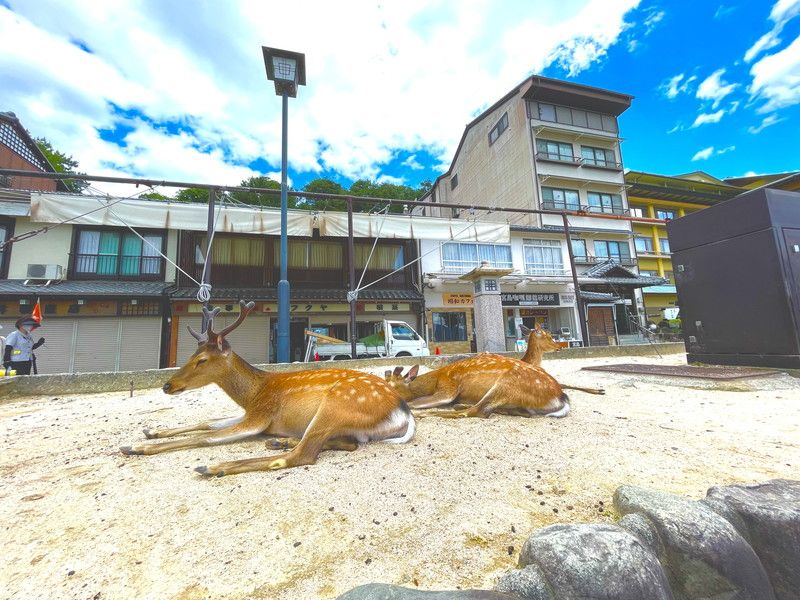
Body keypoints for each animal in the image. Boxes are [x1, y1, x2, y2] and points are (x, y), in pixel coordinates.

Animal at [120, 300, 415, 476]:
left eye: (201, 359)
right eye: (191, 354)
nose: (167, 385)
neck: (253, 393)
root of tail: (404, 412)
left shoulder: (260, 415)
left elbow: (208, 437)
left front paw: (136, 447)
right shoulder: (250, 412)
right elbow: (208, 422)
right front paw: (150, 431)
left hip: (335, 405)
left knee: (302, 456)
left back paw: (215, 466)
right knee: (346, 443)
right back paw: (280, 441)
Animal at [384, 353, 570, 419]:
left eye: (392, 386)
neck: (437, 378)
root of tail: (561, 397)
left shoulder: (449, 387)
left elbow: (414, 402)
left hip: (507, 384)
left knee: (477, 412)